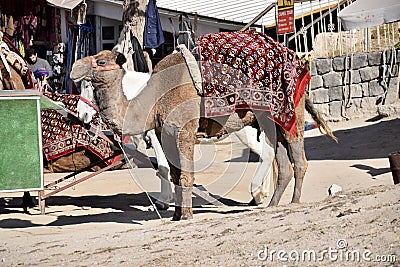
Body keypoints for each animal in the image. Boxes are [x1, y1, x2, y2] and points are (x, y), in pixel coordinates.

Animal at [70, 45, 336, 221]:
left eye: (101, 61)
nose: (74, 68)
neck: (152, 98)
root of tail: (300, 66)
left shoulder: (183, 131)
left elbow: (184, 175)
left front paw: (185, 215)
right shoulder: (165, 134)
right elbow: (174, 173)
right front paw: (176, 214)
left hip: (290, 110)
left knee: (296, 154)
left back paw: (291, 201)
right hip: (270, 120)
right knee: (280, 157)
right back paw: (271, 203)